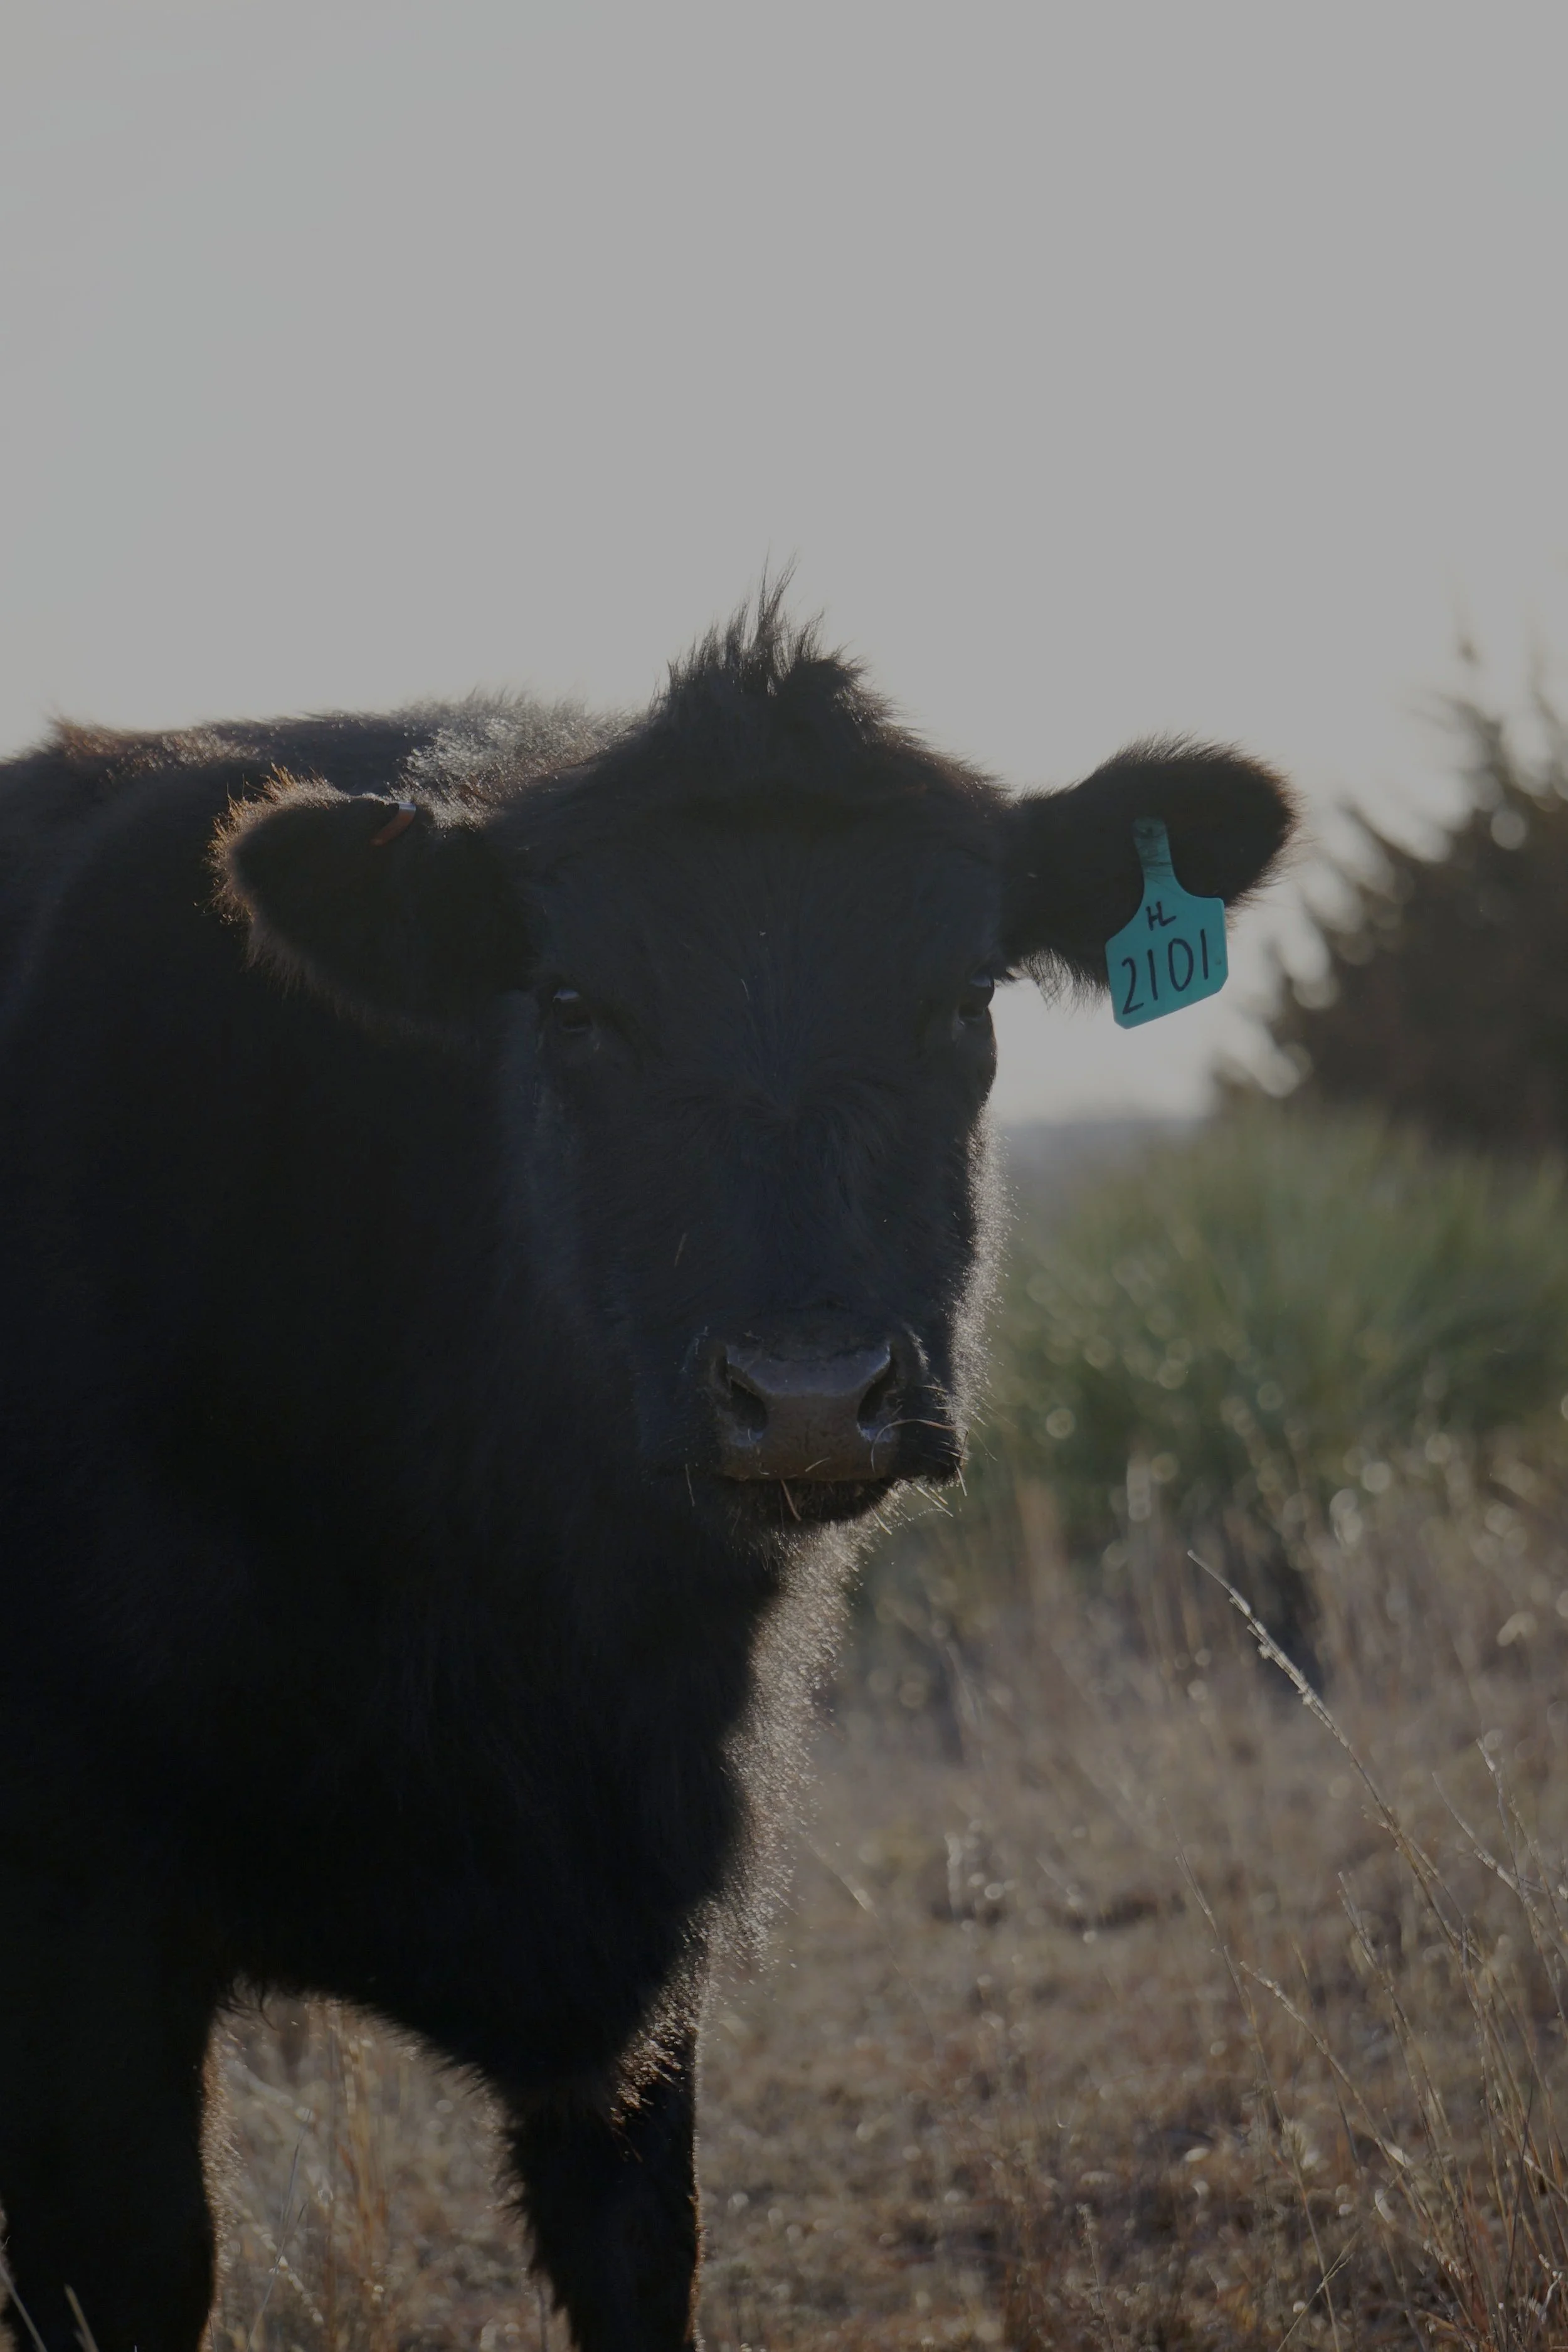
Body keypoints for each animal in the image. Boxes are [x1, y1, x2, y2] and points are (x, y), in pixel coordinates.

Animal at [0, 592, 1293, 2351]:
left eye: (965, 996)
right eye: (567, 1003)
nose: (809, 1395)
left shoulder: (647, 1962)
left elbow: (645, 2255)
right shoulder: (80, 1947)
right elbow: (135, 2266)